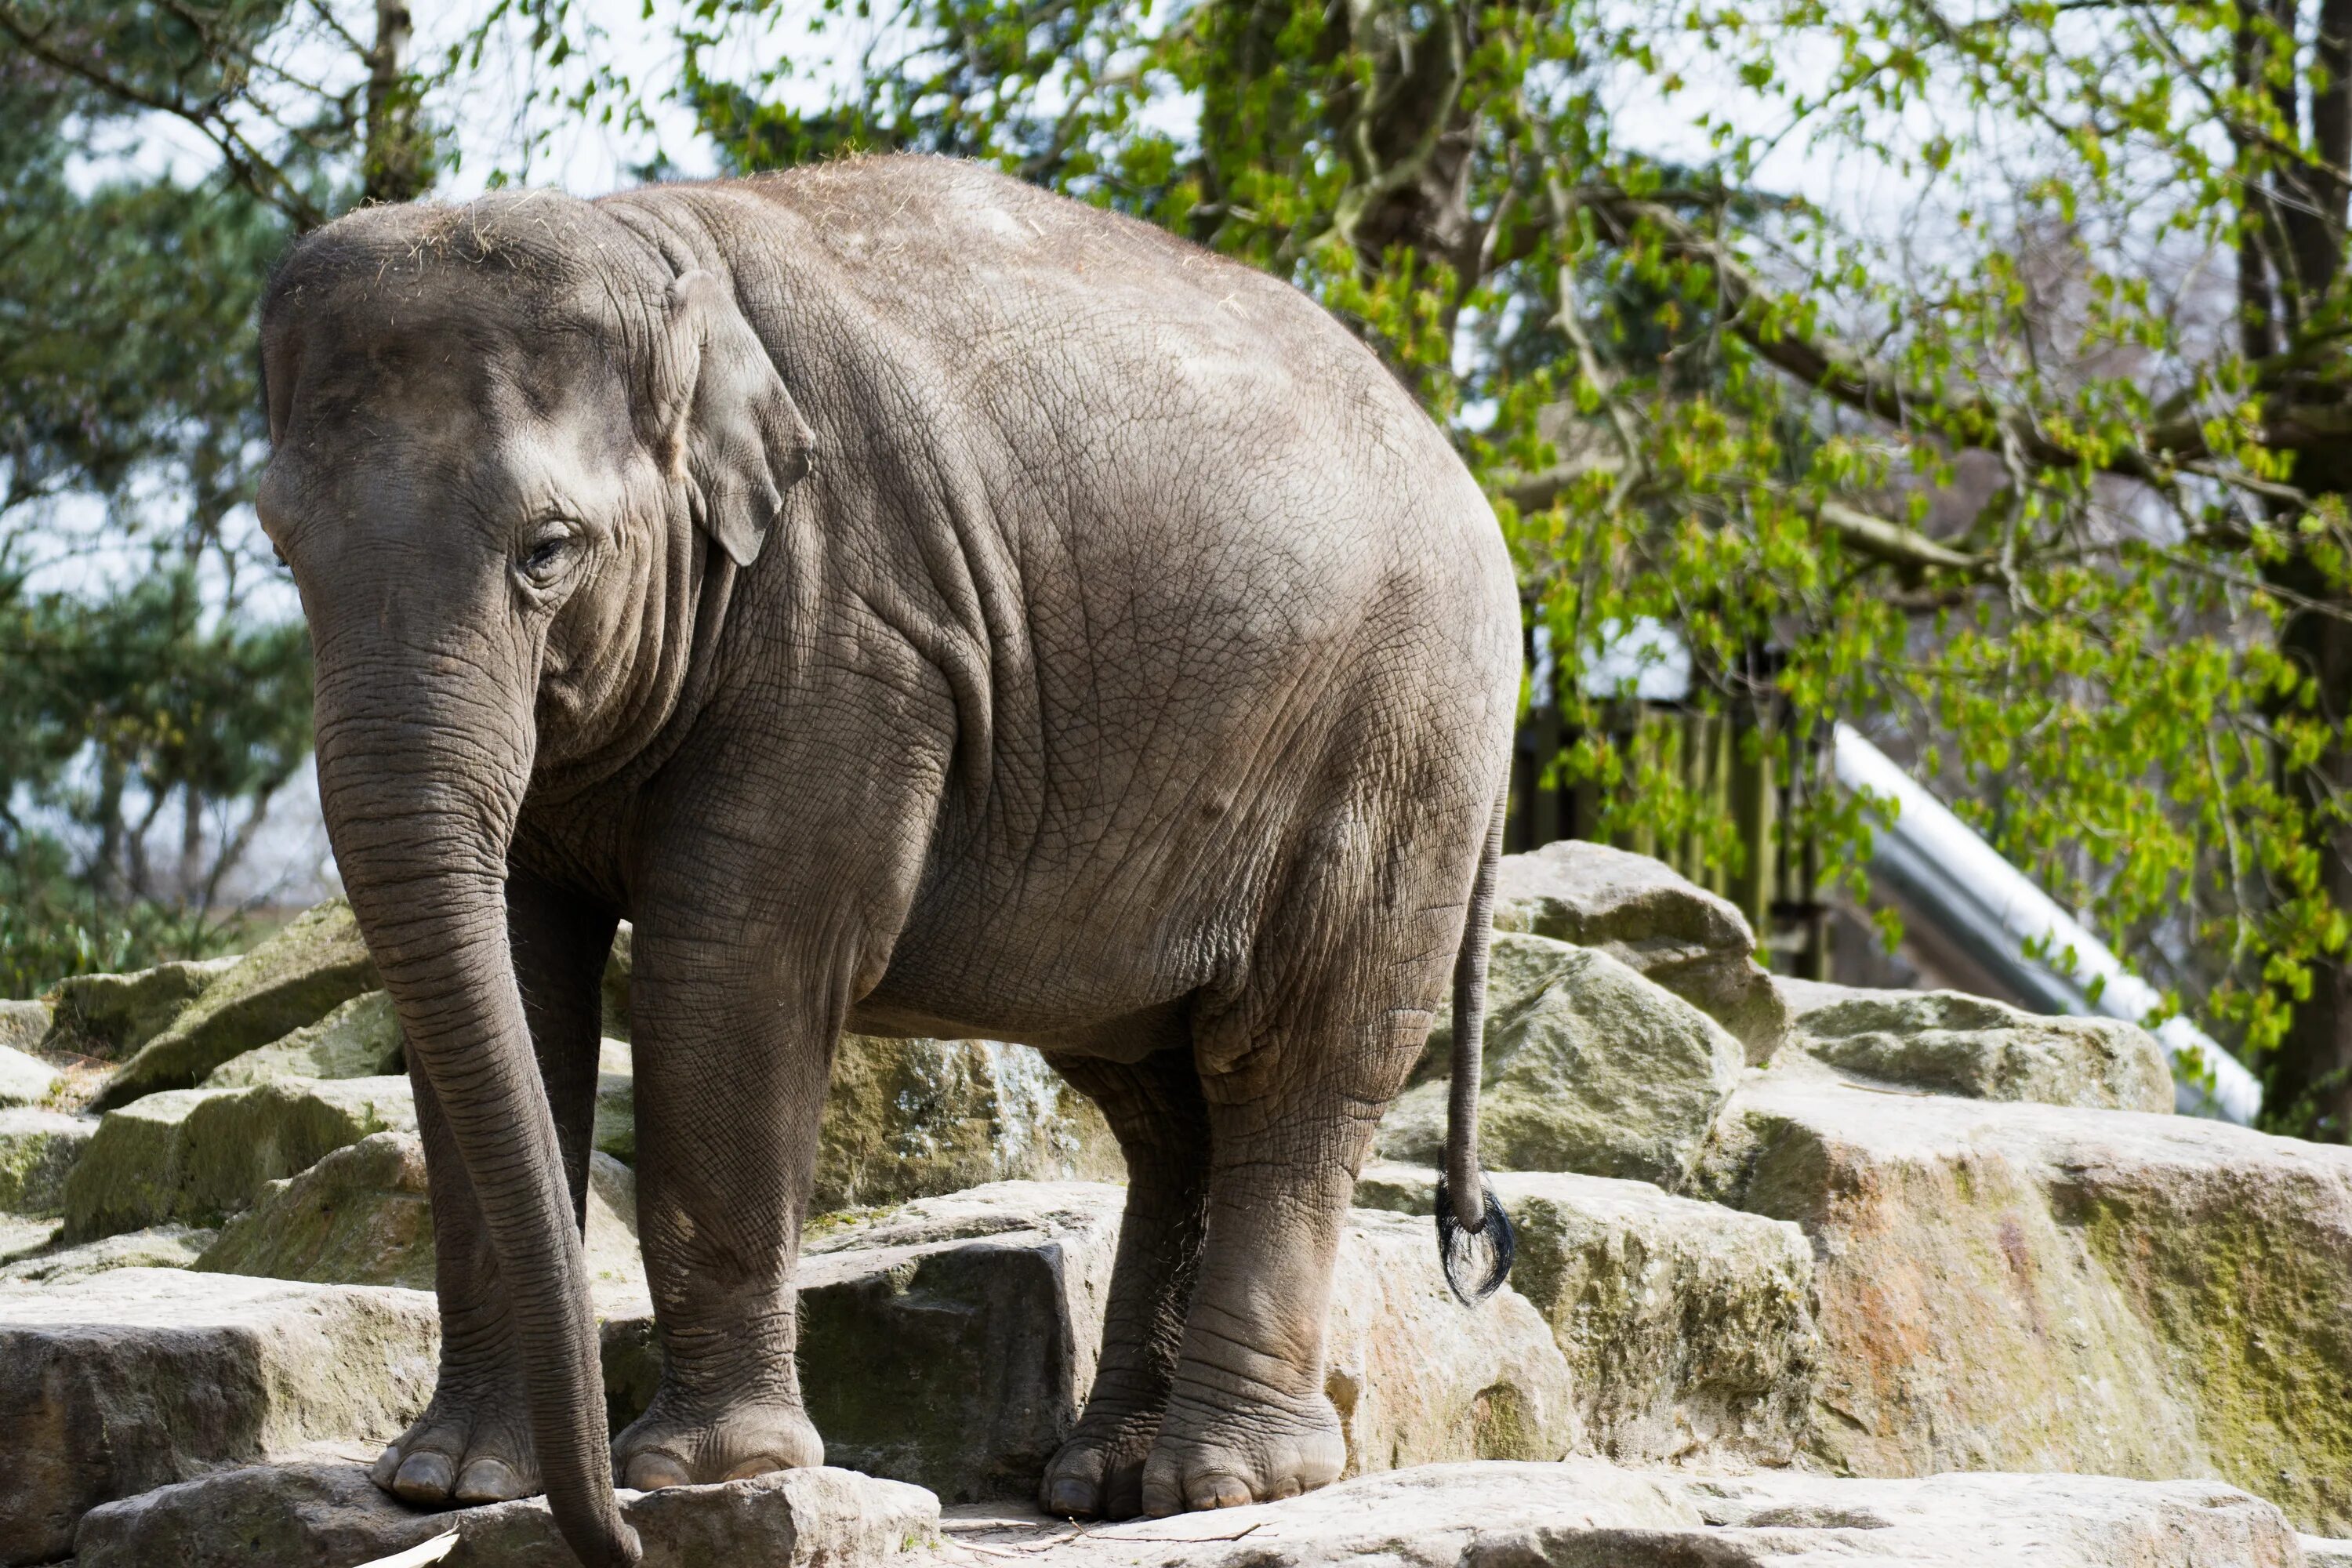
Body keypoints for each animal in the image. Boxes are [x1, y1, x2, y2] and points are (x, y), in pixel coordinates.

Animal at [248, 150, 1515, 1568]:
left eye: (548, 550)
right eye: (283, 550)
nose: (614, 1534)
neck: (653, 244)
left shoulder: (853, 631)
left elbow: (730, 972)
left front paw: (705, 1475)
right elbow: (520, 990)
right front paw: (449, 1484)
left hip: (1400, 742)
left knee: (1289, 1058)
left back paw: (1222, 1484)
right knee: (1159, 1092)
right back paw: (1103, 1481)